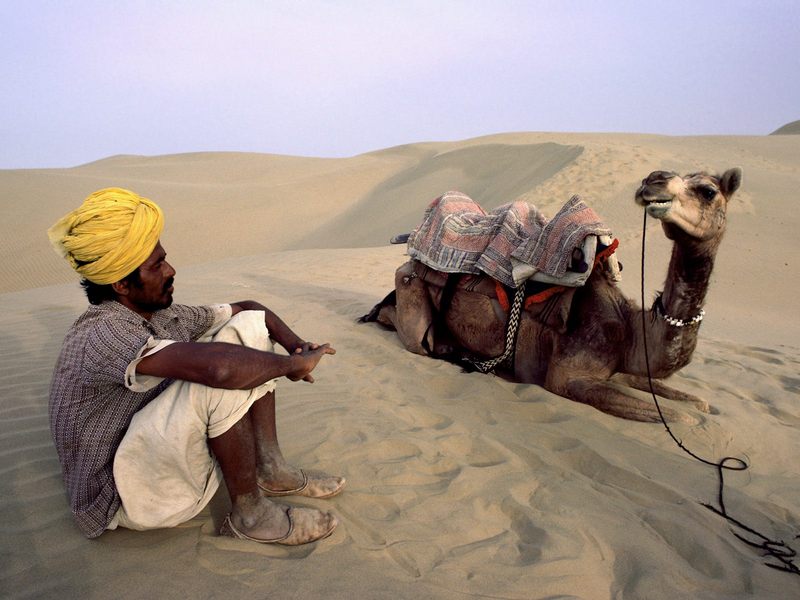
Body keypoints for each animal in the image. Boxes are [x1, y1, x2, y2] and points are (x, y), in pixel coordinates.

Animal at [362, 169, 744, 422]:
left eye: (708, 191)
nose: (654, 179)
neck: (630, 330)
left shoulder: (620, 371)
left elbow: (698, 404)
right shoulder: (565, 378)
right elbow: (684, 418)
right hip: (411, 285)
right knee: (412, 331)